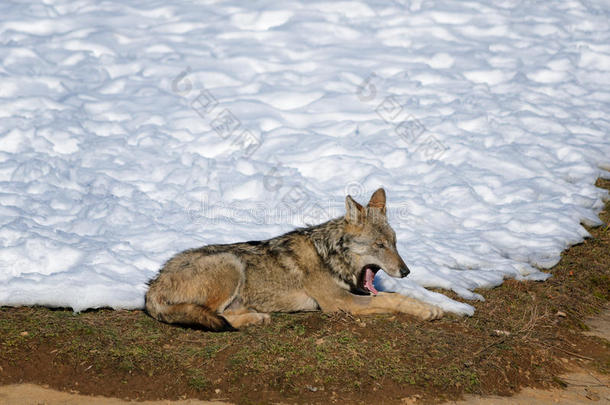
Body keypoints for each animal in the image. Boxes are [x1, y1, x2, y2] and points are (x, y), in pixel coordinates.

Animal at [145, 188, 444, 330]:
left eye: (395, 244)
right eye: (379, 245)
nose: (406, 272)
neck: (328, 255)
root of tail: (154, 284)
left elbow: (393, 296)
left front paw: (431, 305)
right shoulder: (339, 303)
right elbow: (392, 299)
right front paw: (426, 310)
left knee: (222, 314)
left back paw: (256, 315)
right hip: (231, 263)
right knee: (214, 315)